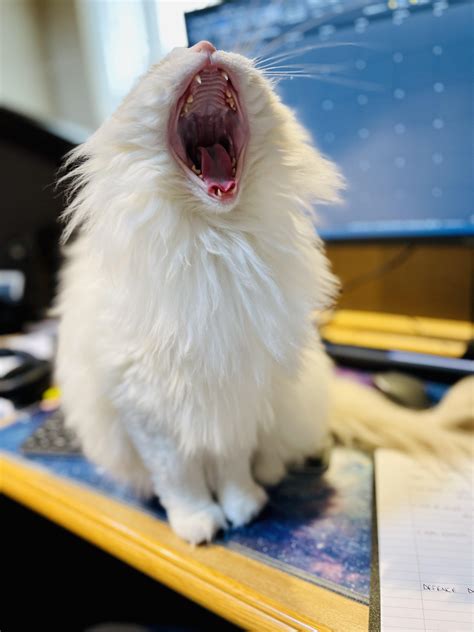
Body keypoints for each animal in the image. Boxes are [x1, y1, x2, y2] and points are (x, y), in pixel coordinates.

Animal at [54, 42, 470, 544]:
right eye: (164, 60)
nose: (206, 47)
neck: (218, 246)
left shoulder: (243, 392)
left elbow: (232, 466)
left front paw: (243, 508)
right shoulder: (148, 412)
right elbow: (180, 481)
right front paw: (197, 524)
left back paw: (272, 475)